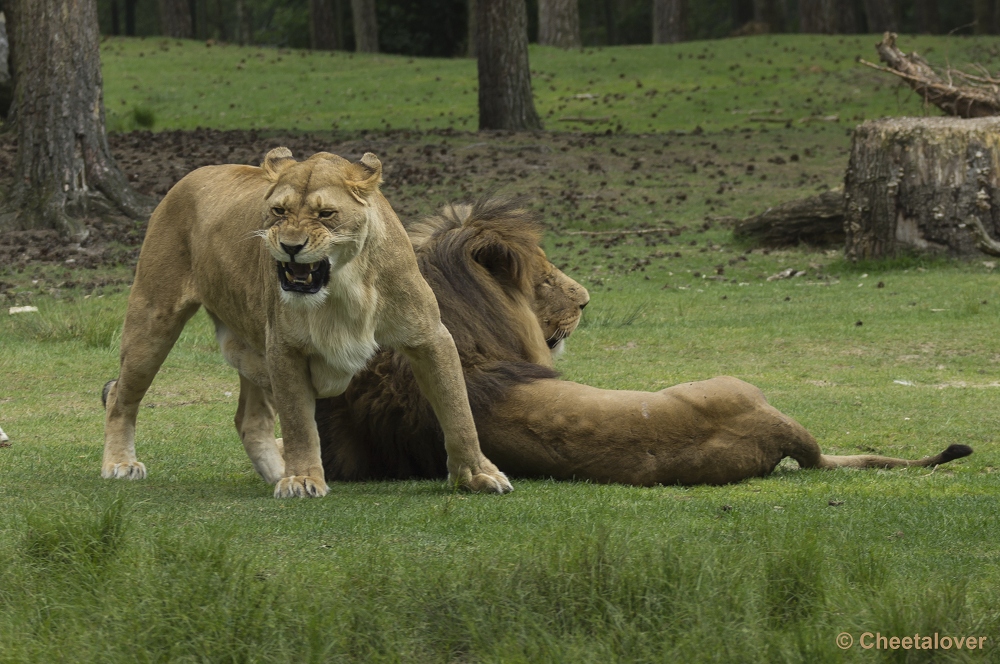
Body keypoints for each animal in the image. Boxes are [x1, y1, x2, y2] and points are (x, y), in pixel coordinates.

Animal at [102, 148, 512, 496]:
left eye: (325, 214)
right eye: (278, 211)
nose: (290, 246)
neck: (345, 287)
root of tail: (189, 175)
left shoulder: (430, 337)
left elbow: (458, 410)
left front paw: (478, 474)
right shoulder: (285, 348)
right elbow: (299, 422)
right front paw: (301, 479)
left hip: (251, 347)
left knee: (250, 420)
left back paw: (274, 471)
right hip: (153, 320)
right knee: (119, 395)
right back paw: (120, 463)